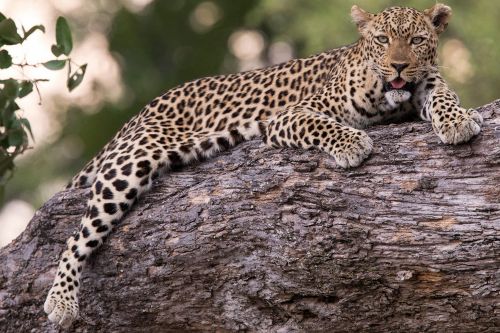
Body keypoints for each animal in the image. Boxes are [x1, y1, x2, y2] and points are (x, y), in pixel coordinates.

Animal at [45, 3, 482, 326]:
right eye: (382, 40)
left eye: (416, 40)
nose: (398, 66)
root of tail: (140, 112)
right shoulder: (290, 115)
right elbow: (324, 124)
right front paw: (354, 143)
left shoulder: (428, 84)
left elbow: (443, 95)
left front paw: (458, 121)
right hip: (132, 162)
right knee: (76, 237)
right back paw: (62, 301)